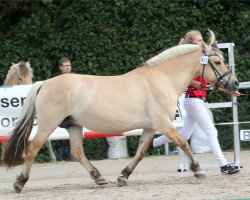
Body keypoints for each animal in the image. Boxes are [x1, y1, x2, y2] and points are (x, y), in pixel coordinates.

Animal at [3, 31, 238, 194]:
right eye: (217, 62)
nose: (234, 83)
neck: (163, 78)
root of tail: (44, 84)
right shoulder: (164, 125)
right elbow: (183, 143)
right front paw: (198, 170)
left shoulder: (150, 128)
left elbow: (141, 152)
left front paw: (123, 176)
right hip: (48, 125)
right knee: (32, 149)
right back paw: (19, 183)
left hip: (74, 125)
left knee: (77, 152)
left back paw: (98, 177)